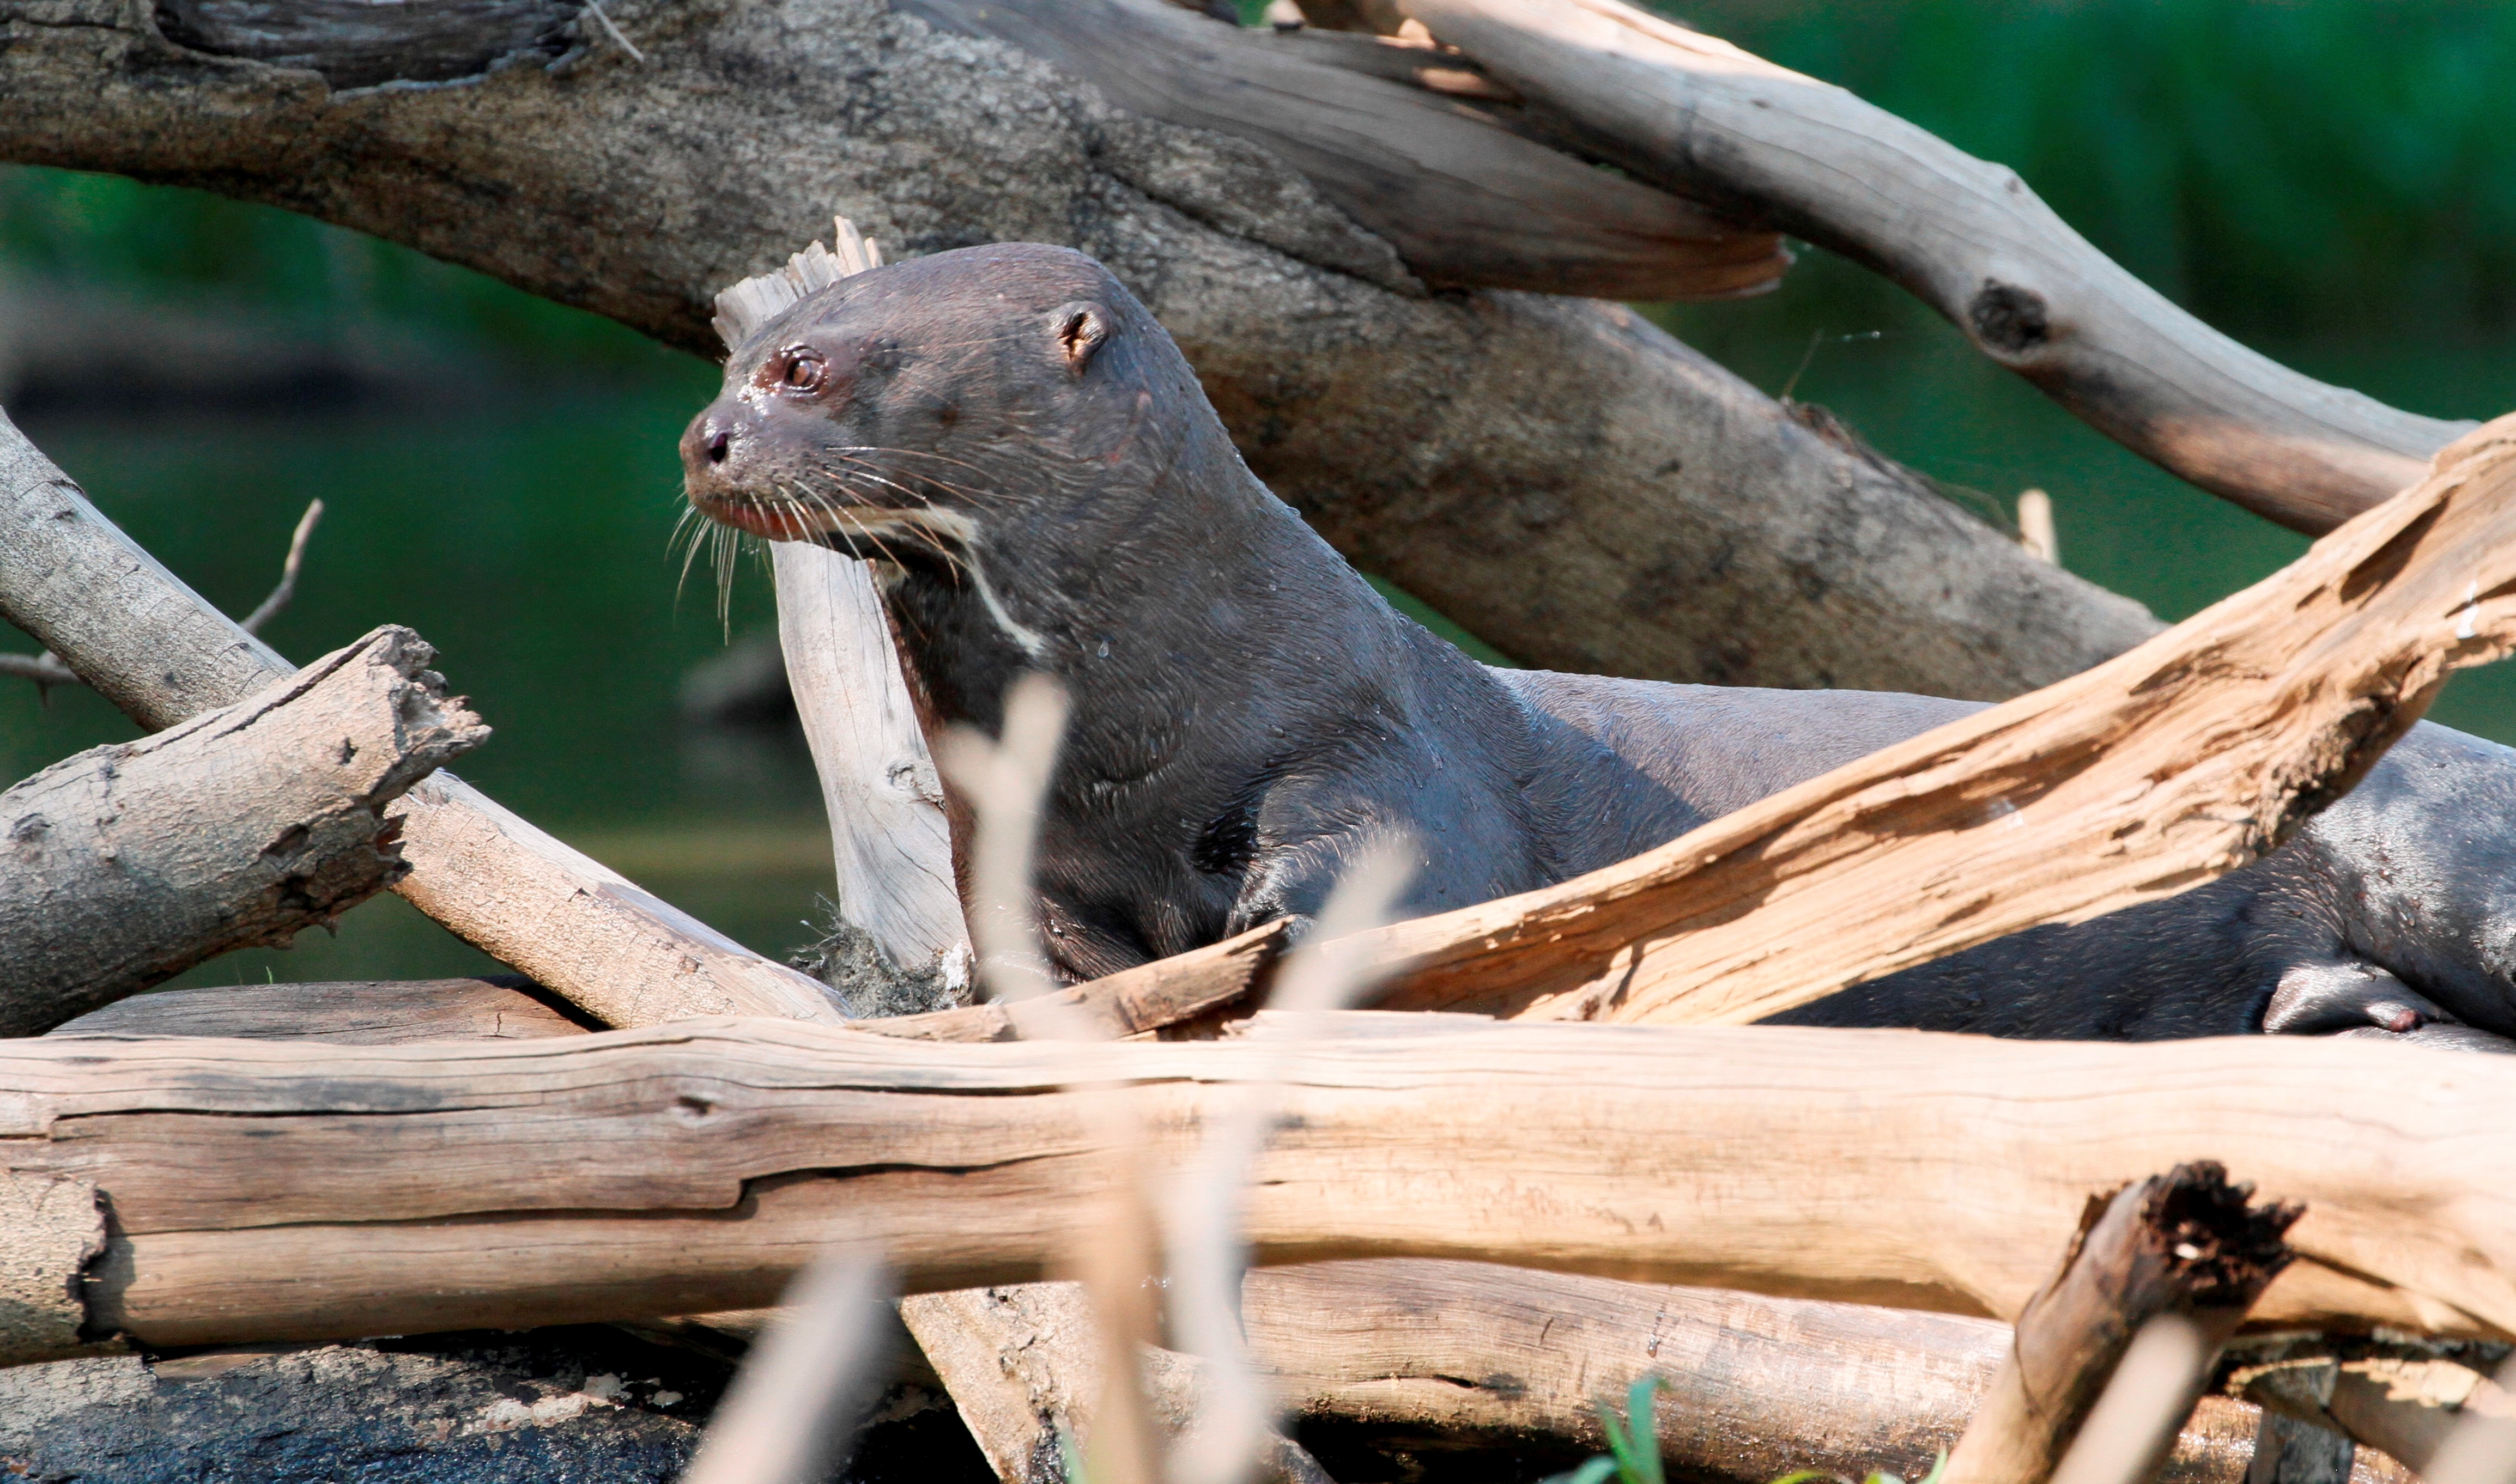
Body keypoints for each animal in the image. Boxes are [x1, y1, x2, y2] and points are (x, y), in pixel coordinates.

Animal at [684, 242, 2516, 1051]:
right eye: (739, 351)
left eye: (812, 367)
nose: (704, 436)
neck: (1135, 720)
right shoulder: (1026, 850)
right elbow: (1033, 958)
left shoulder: (1372, 748)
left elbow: (1389, 876)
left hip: (2440, 833)